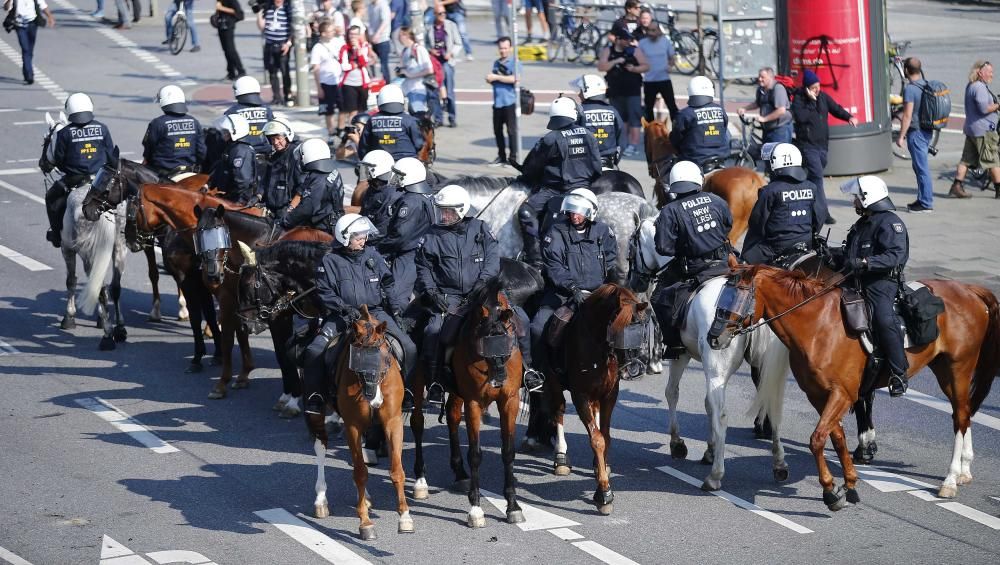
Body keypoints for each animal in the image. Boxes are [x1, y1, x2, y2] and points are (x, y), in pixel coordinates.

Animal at [39, 111, 129, 348]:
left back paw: (107, 336)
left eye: (46, 140)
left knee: (98, 287)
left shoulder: (68, 249)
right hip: (119, 249)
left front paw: (68, 317)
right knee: (114, 287)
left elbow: (71, 281)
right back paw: (119, 328)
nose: (42, 163)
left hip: (88, 253)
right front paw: (102, 319)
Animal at [548, 284, 648, 512]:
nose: (633, 368)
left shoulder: (609, 394)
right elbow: (597, 439)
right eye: (617, 328)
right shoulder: (580, 396)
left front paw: (601, 469)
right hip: (553, 382)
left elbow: (606, 436)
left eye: (640, 328)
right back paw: (561, 457)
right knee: (558, 411)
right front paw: (604, 493)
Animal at [632, 216, 788, 490]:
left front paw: (678, 444)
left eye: (634, 244)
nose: (634, 281)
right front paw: (709, 449)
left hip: (715, 370)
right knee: (771, 405)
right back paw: (779, 464)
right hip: (763, 369)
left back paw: (716, 476)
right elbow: (707, 405)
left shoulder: (682, 355)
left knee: (723, 415)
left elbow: (672, 393)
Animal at [720, 264, 1000, 506]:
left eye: (740, 296)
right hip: (944, 369)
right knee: (962, 413)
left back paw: (950, 479)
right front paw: (849, 484)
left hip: (958, 368)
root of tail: (968, 289)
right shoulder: (818, 395)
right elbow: (837, 437)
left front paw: (830, 491)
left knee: (961, 416)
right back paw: (964, 470)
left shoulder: (842, 394)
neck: (817, 326)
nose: (715, 336)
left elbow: (818, 438)